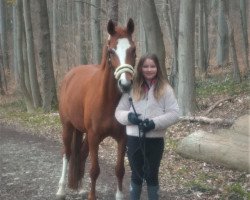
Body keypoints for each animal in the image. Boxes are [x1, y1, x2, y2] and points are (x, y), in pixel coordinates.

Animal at [56, 19, 136, 200]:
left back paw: (78, 187)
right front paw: (92, 196)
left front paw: (119, 195)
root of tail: (70, 74)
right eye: (111, 50)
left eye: (133, 49)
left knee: (80, 153)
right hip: (68, 127)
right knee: (67, 153)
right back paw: (61, 189)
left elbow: (119, 170)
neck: (108, 100)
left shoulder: (122, 138)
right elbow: (94, 170)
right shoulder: (94, 137)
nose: (125, 84)